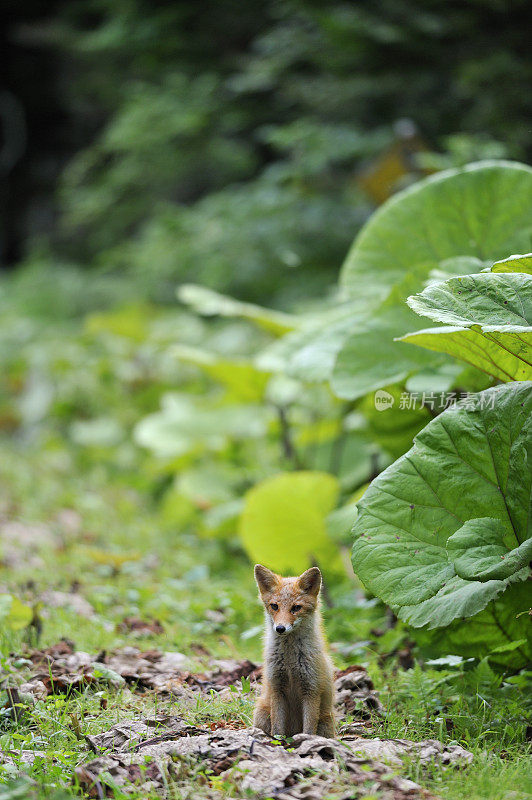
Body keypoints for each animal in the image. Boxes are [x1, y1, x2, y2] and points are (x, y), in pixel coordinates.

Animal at [252, 564, 334, 736]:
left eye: (296, 608)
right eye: (274, 606)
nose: (280, 628)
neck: (290, 662)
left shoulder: (311, 690)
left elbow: (309, 729)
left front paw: (307, 740)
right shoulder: (277, 688)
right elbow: (277, 727)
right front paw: (277, 741)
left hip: (326, 724)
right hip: (261, 714)